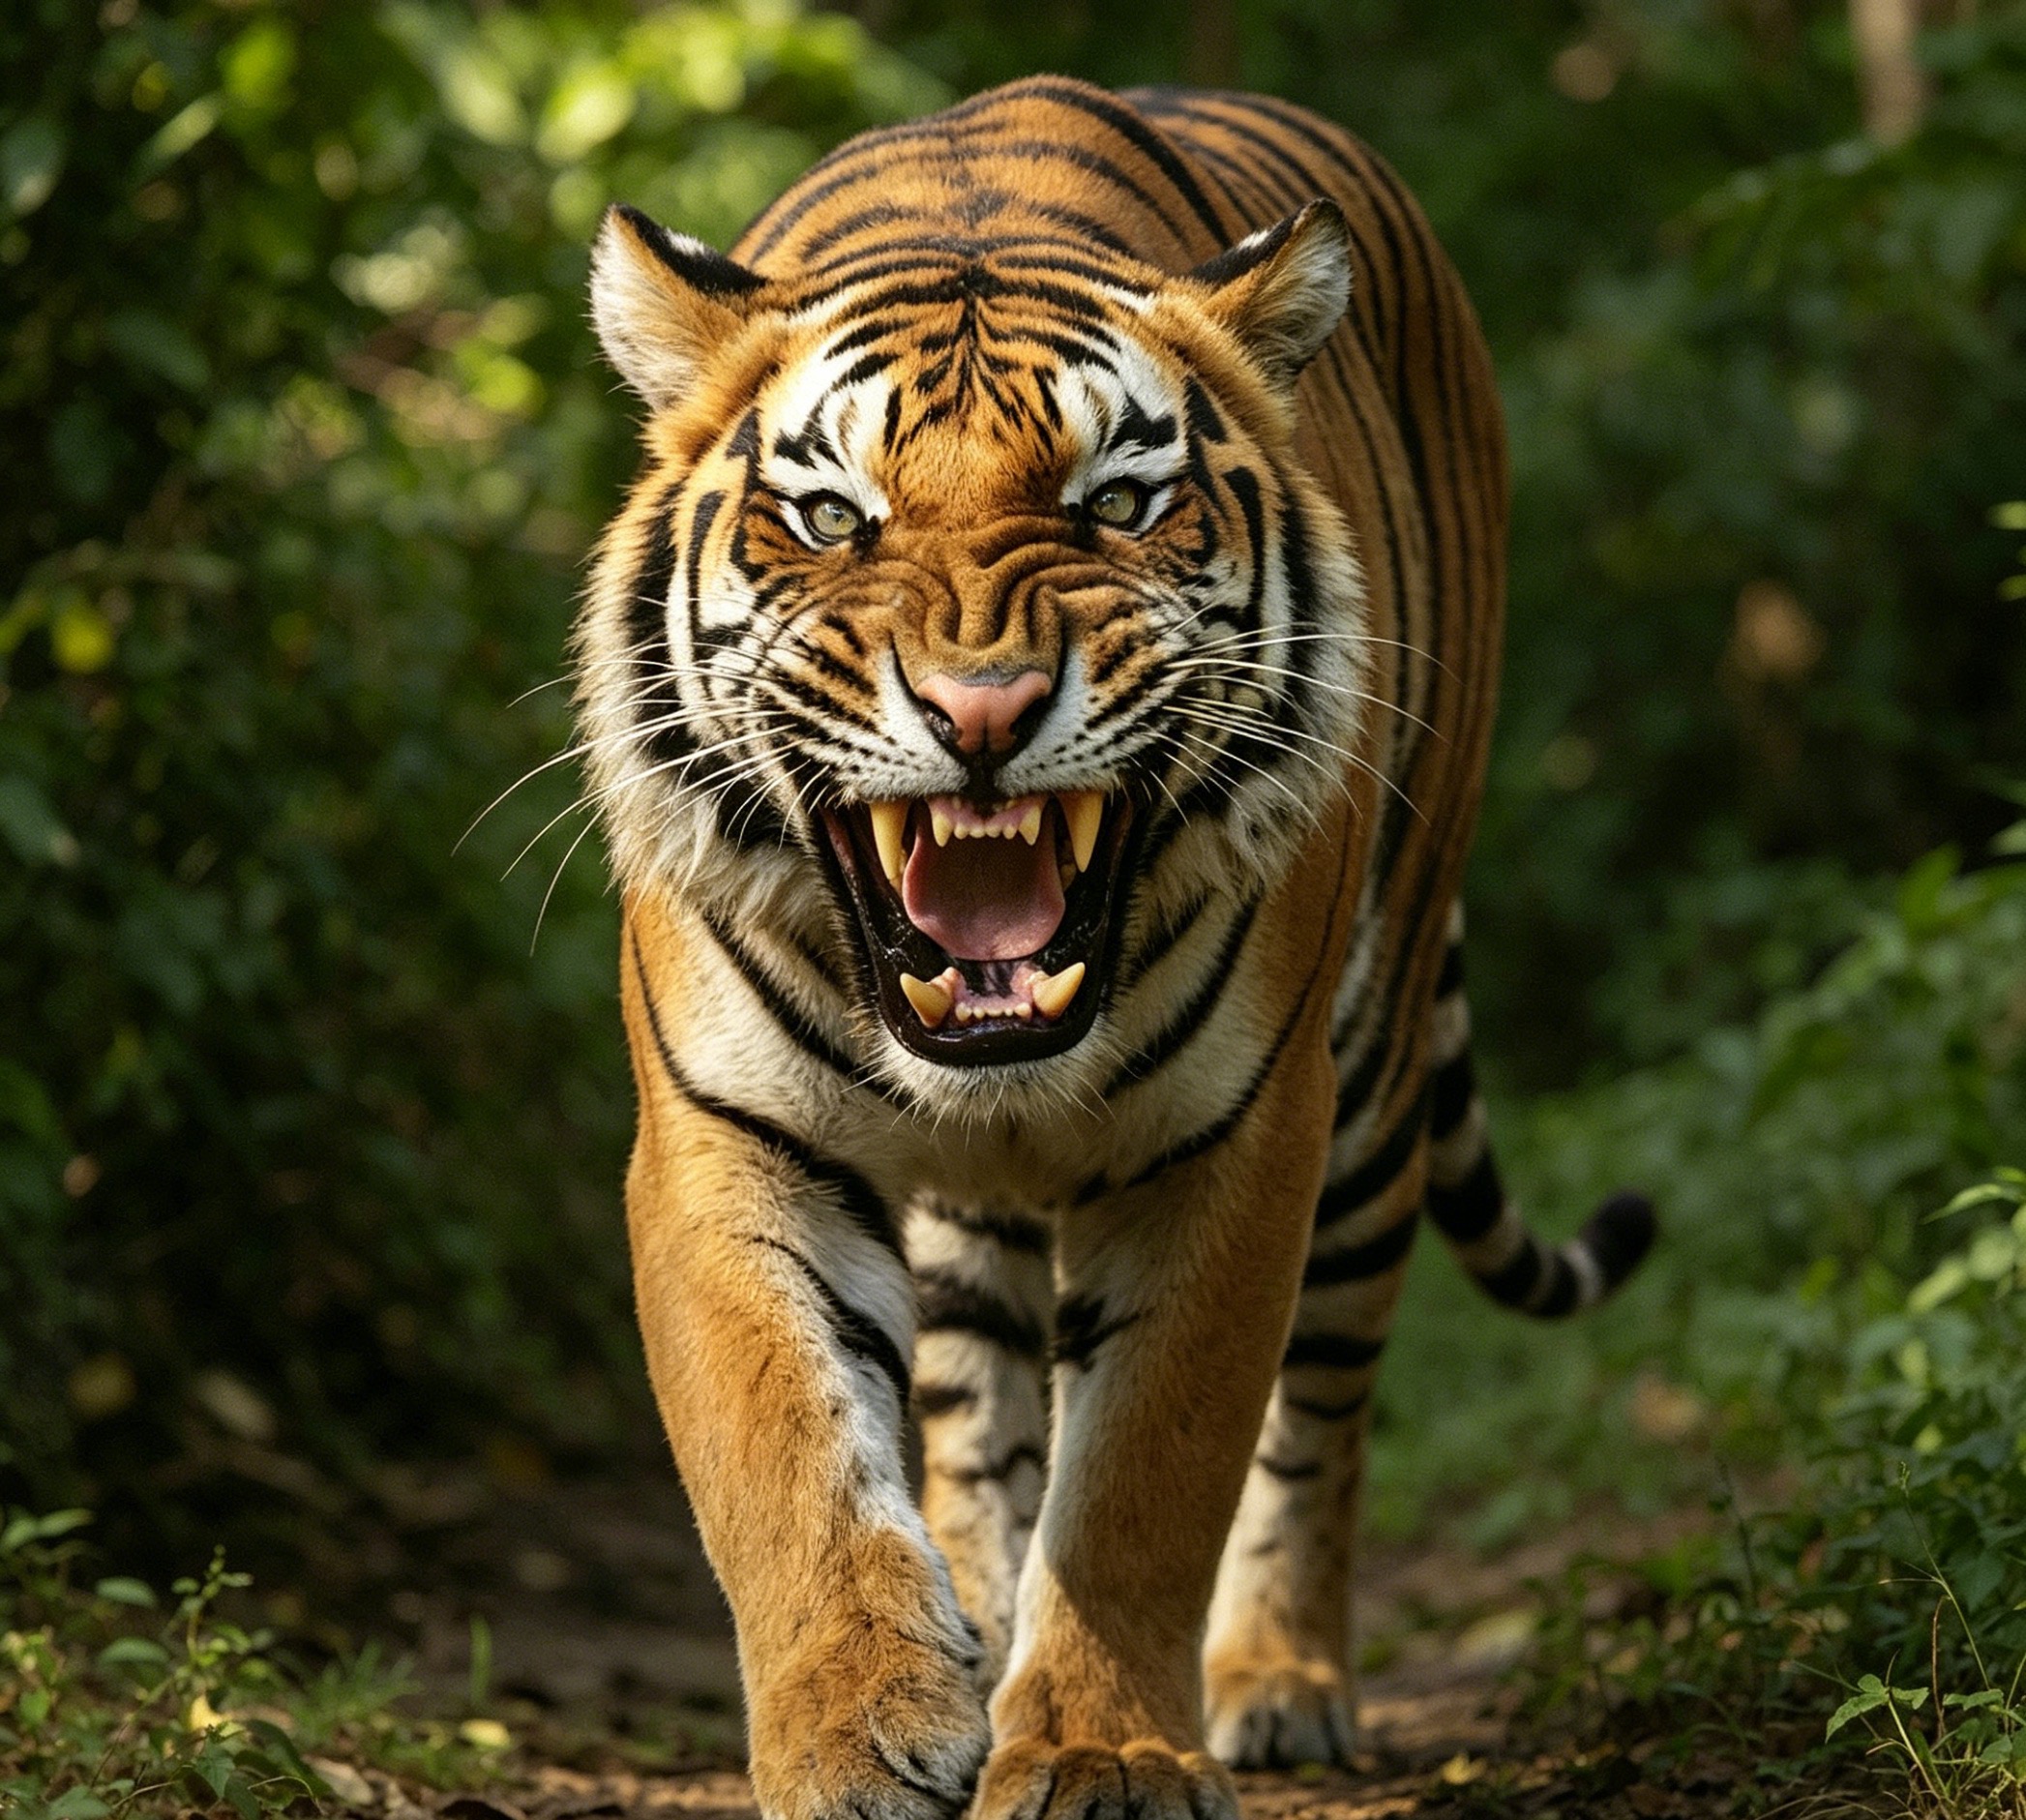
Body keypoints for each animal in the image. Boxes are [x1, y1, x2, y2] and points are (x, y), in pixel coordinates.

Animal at [574, 74, 1652, 1820]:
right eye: (831, 518)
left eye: (1120, 504)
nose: (982, 711)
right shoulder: (724, 1138)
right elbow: (791, 1464)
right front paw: (858, 1731)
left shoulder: (1237, 1141)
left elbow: (1149, 1479)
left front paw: (1103, 1753)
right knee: (971, 1414)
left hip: (1369, 1093)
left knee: (1322, 1409)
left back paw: (1276, 1679)